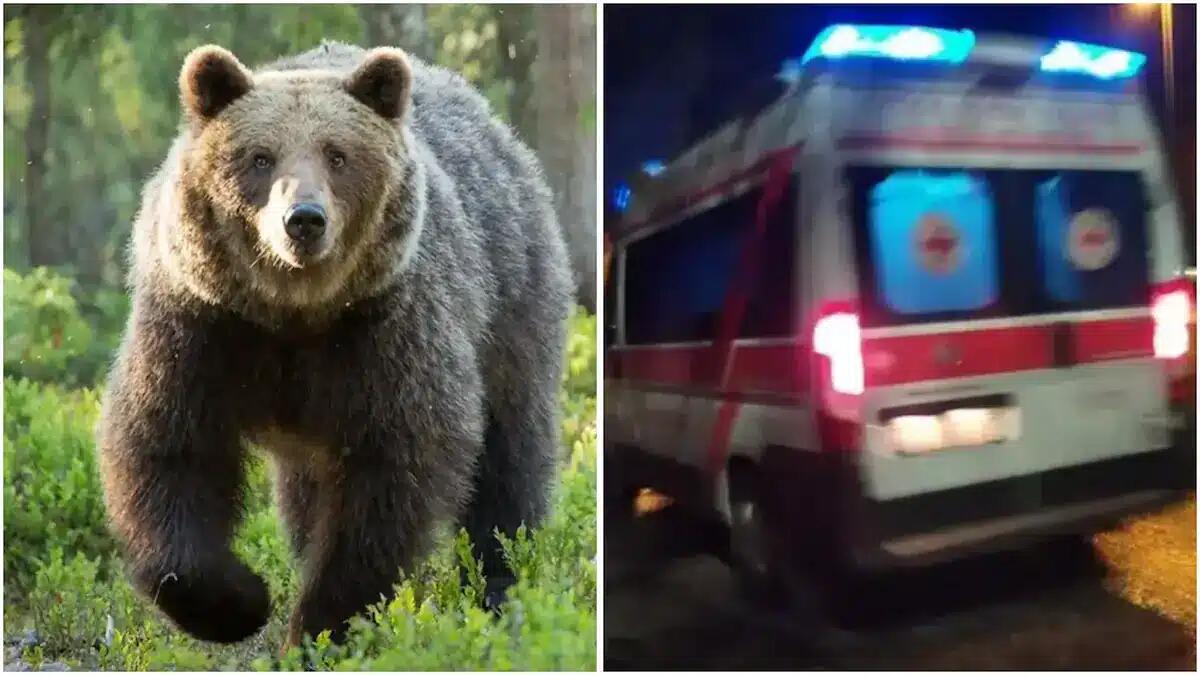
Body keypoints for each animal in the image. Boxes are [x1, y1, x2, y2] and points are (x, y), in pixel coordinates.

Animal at [96, 41, 572, 648]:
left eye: (338, 155)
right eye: (260, 157)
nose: (303, 220)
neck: (294, 313)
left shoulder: (386, 332)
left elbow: (390, 476)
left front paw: (322, 625)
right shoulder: (201, 326)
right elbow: (168, 448)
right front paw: (240, 600)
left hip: (510, 302)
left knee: (510, 457)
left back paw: (501, 585)